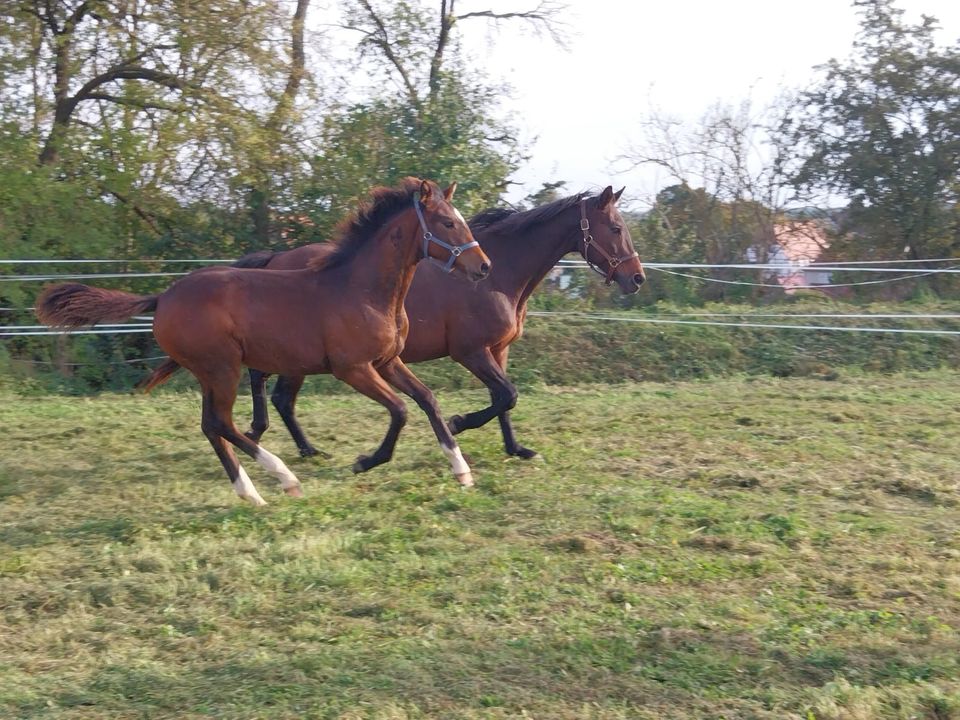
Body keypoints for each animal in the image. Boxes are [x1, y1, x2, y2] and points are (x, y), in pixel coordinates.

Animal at [33, 178, 492, 506]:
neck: (364, 291)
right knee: (222, 423)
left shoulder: (388, 362)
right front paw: (365, 462)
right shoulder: (353, 369)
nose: (483, 267)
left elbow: (428, 400)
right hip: (223, 368)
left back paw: (250, 492)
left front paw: (461, 469)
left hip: (210, 373)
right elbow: (400, 410)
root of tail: (163, 297)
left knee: (211, 426)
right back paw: (284, 478)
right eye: (448, 223)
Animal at [232, 183, 644, 458]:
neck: (497, 275)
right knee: (274, 391)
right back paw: (281, 440)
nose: (637, 278)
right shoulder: (470, 351)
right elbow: (506, 395)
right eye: (616, 229)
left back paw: (296, 446)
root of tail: (276, 259)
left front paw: (516, 448)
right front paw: (458, 424)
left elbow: (506, 399)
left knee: (277, 394)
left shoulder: (499, 350)